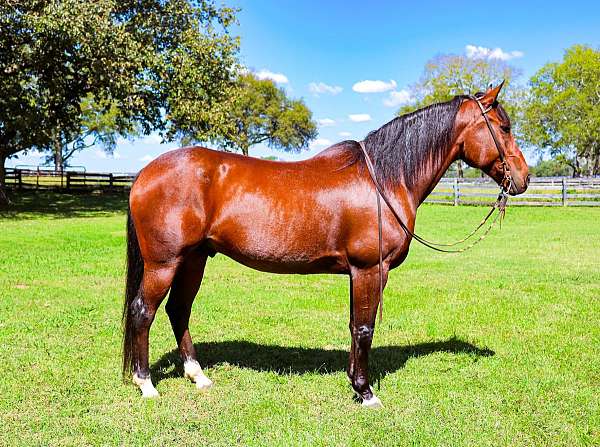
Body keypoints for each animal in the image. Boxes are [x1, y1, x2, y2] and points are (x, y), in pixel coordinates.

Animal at [124, 82, 528, 408]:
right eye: (504, 127)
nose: (523, 177)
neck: (384, 179)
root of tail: (144, 173)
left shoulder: (358, 273)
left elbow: (354, 325)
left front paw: (354, 383)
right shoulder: (370, 269)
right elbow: (364, 328)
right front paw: (365, 392)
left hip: (195, 259)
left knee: (178, 310)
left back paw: (198, 376)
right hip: (165, 263)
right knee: (144, 311)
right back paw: (146, 385)